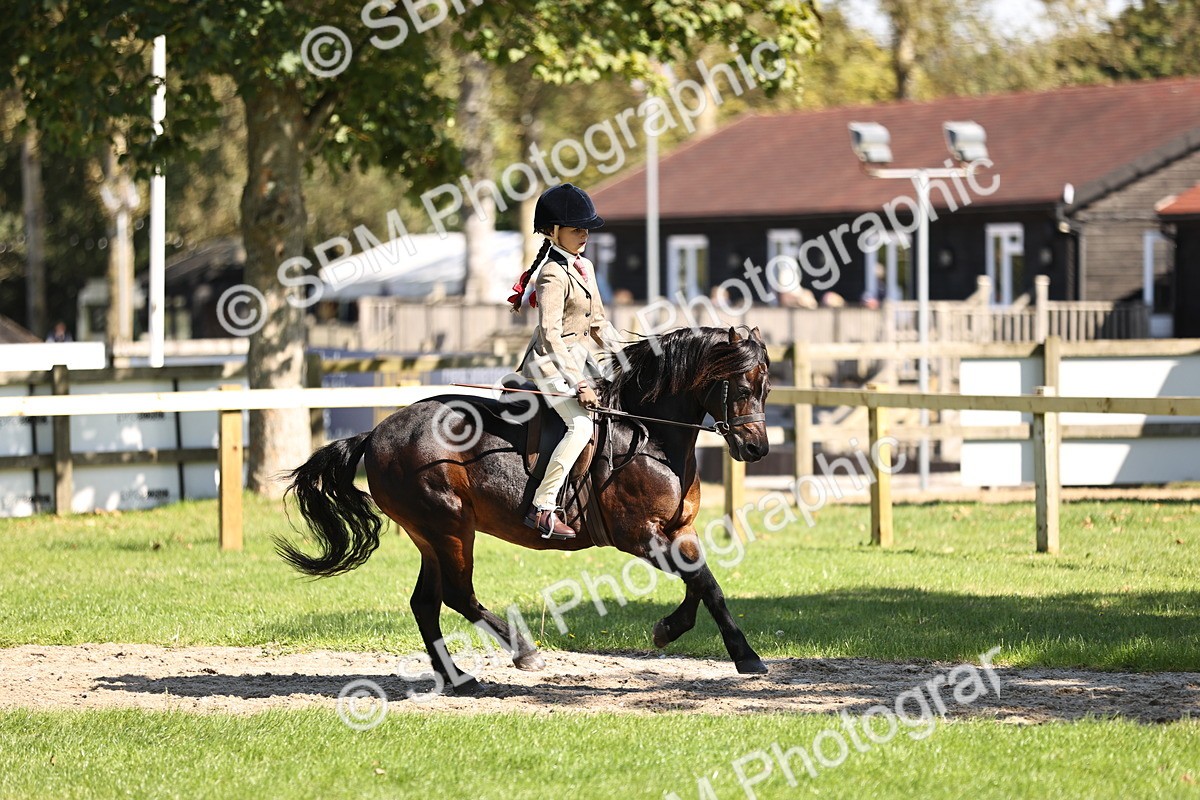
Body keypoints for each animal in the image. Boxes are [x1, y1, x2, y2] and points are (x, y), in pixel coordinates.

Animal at [276, 325, 772, 692]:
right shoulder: (639, 535)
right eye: (739, 386)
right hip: (450, 529)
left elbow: (705, 584)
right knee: (457, 596)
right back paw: (523, 653)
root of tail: (376, 433)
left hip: (430, 537)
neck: (648, 434)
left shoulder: (679, 529)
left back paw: (458, 678)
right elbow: (701, 580)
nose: (757, 449)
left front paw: (689, 635)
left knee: (426, 603)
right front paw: (740, 653)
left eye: (766, 388)